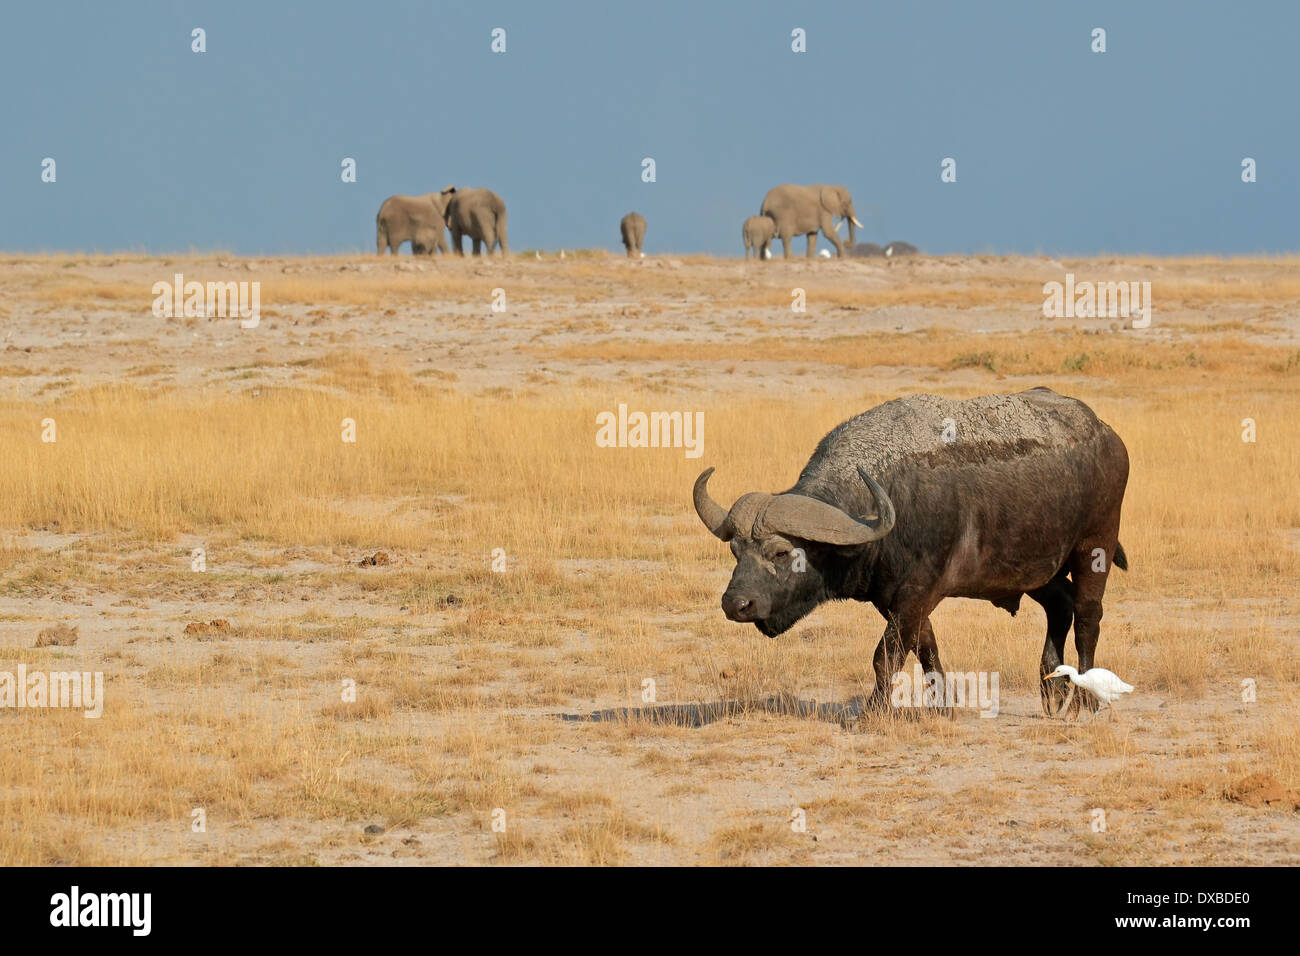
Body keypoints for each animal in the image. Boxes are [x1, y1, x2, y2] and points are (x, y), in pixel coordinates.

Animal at [691, 385, 1128, 712]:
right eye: (736, 551)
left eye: (781, 553)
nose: (735, 604)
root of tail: (1106, 434)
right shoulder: (895, 598)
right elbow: (924, 646)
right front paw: (944, 704)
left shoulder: (917, 591)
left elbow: (885, 655)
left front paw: (874, 710)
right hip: (1036, 569)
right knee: (1061, 606)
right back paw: (1052, 691)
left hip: (1095, 546)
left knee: (1088, 617)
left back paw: (1085, 700)